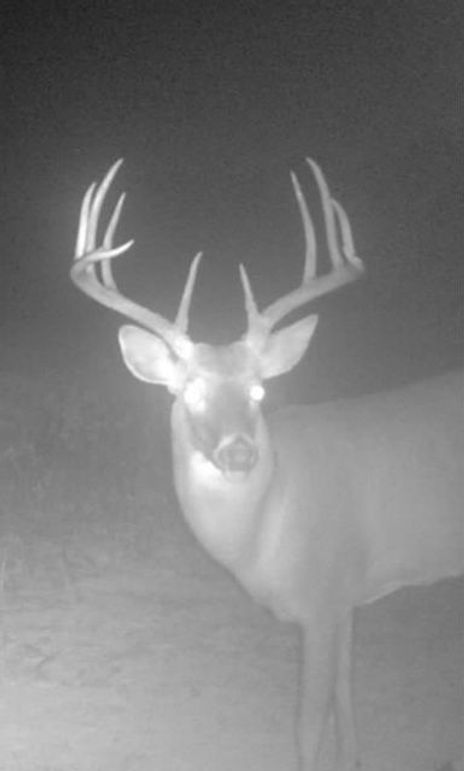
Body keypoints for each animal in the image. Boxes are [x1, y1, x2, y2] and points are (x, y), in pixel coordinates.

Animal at [71, 158, 463, 770]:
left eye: (258, 391)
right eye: (190, 392)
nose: (238, 451)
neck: (268, 532)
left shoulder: (323, 596)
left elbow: (307, 725)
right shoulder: (345, 597)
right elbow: (345, 703)